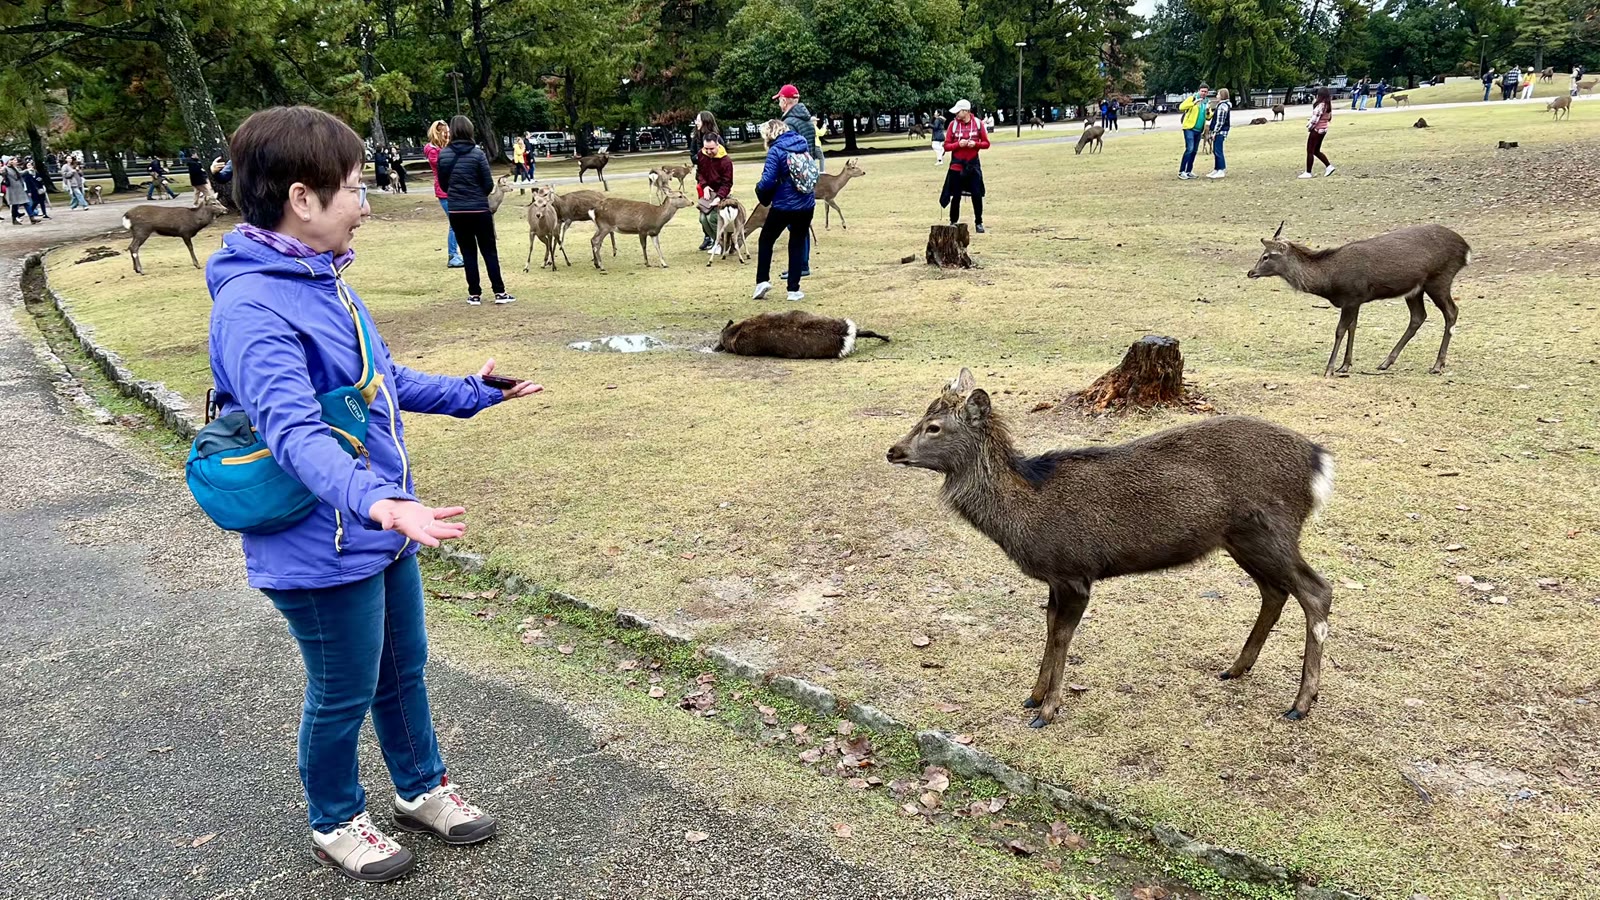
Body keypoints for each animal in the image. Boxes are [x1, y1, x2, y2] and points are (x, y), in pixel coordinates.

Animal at [887, 368, 1336, 728]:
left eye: (934, 426)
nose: (893, 450)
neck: (1025, 513)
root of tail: (1319, 461)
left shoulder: (1075, 571)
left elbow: (1062, 636)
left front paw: (1047, 711)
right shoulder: (1055, 579)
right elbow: (1048, 628)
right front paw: (1032, 696)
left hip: (1272, 530)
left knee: (1317, 590)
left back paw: (1301, 703)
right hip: (1242, 540)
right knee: (1275, 591)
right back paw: (1237, 668)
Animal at [1247, 221, 1471, 376]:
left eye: (1266, 256)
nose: (1251, 272)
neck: (1328, 280)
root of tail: (1466, 249)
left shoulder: (1352, 297)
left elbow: (1340, 330)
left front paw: (1329, 368)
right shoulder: (1355, 301)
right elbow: (1353, 327)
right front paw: (1345, 365)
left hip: (1439, 279)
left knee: (1451, 312)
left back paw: (1437, 365)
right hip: (1415, 290)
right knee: (1418, 316)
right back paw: (1386, 362)